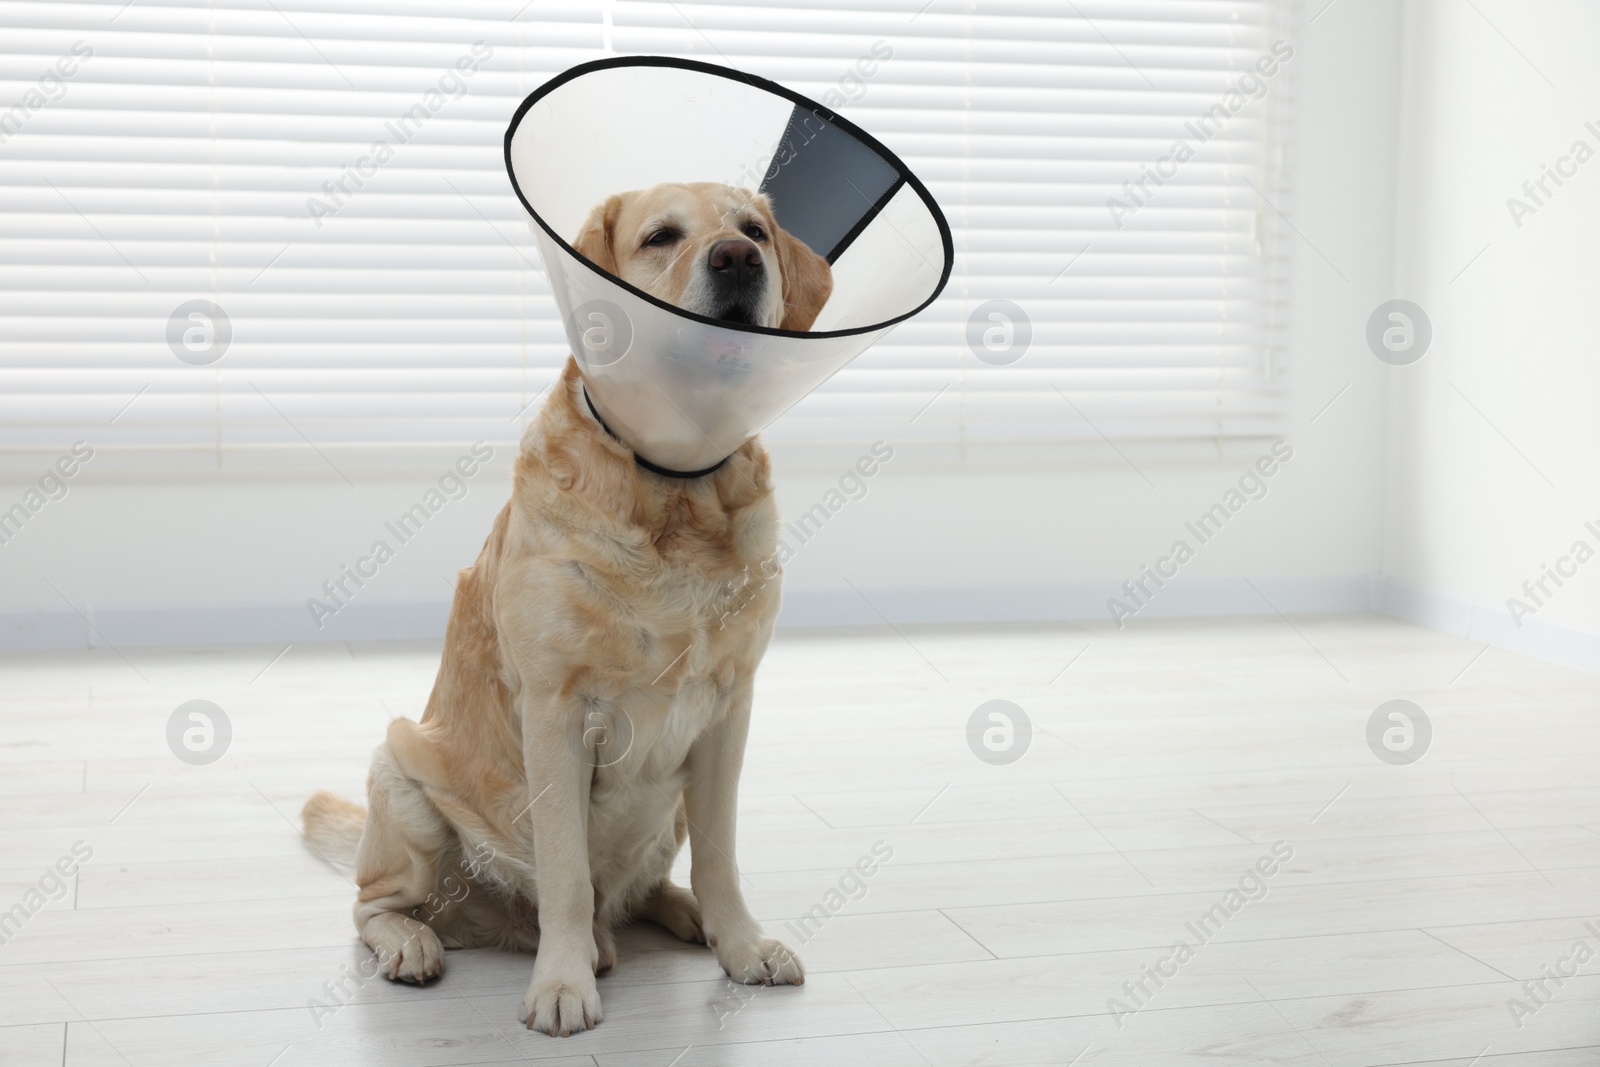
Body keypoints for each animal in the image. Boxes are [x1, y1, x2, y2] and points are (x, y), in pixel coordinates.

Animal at [302, 181, 838, 1036]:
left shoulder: (729, 711)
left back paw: (682, 916)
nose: (737, 258)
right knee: (375, 905)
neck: (674, 490)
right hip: (401, 779)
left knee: (644, 889)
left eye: (753, 230)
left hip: (670, 803)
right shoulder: (554, 712)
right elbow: (565, 870)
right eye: (661, 237)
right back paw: (419, 944)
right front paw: (562, 983)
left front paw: (741, 942)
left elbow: (721, 856)